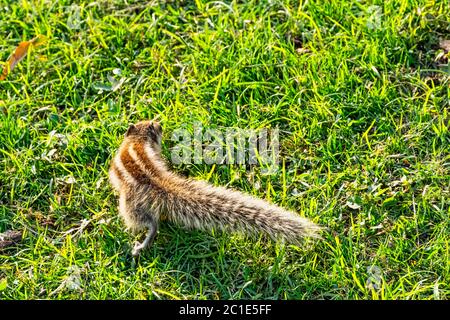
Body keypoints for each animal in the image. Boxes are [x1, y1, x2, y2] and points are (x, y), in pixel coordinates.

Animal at [108, 120, 320, 255]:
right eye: (150, 124)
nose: (160, 124)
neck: (137, 140)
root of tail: (156, 181)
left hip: (128, 206)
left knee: (150, 223)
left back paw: (141, 245)